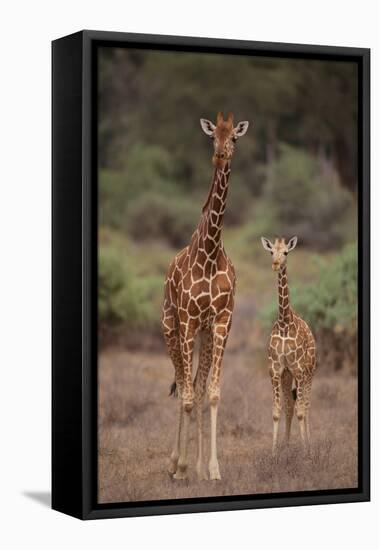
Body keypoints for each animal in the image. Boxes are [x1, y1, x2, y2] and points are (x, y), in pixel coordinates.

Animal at [262, 237, 318, 458]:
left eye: (286, 252)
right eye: (271, 252)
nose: (276, 264)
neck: (285, 322)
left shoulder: (300, 370)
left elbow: (302, 411)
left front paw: (305, 453)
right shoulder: (276, 370)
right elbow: (277, 411)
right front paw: (274, 453)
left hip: (309, 373)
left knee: (306, 406)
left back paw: (309, 447)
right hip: (288, 375)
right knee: (290, 405)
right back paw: (286, 445)